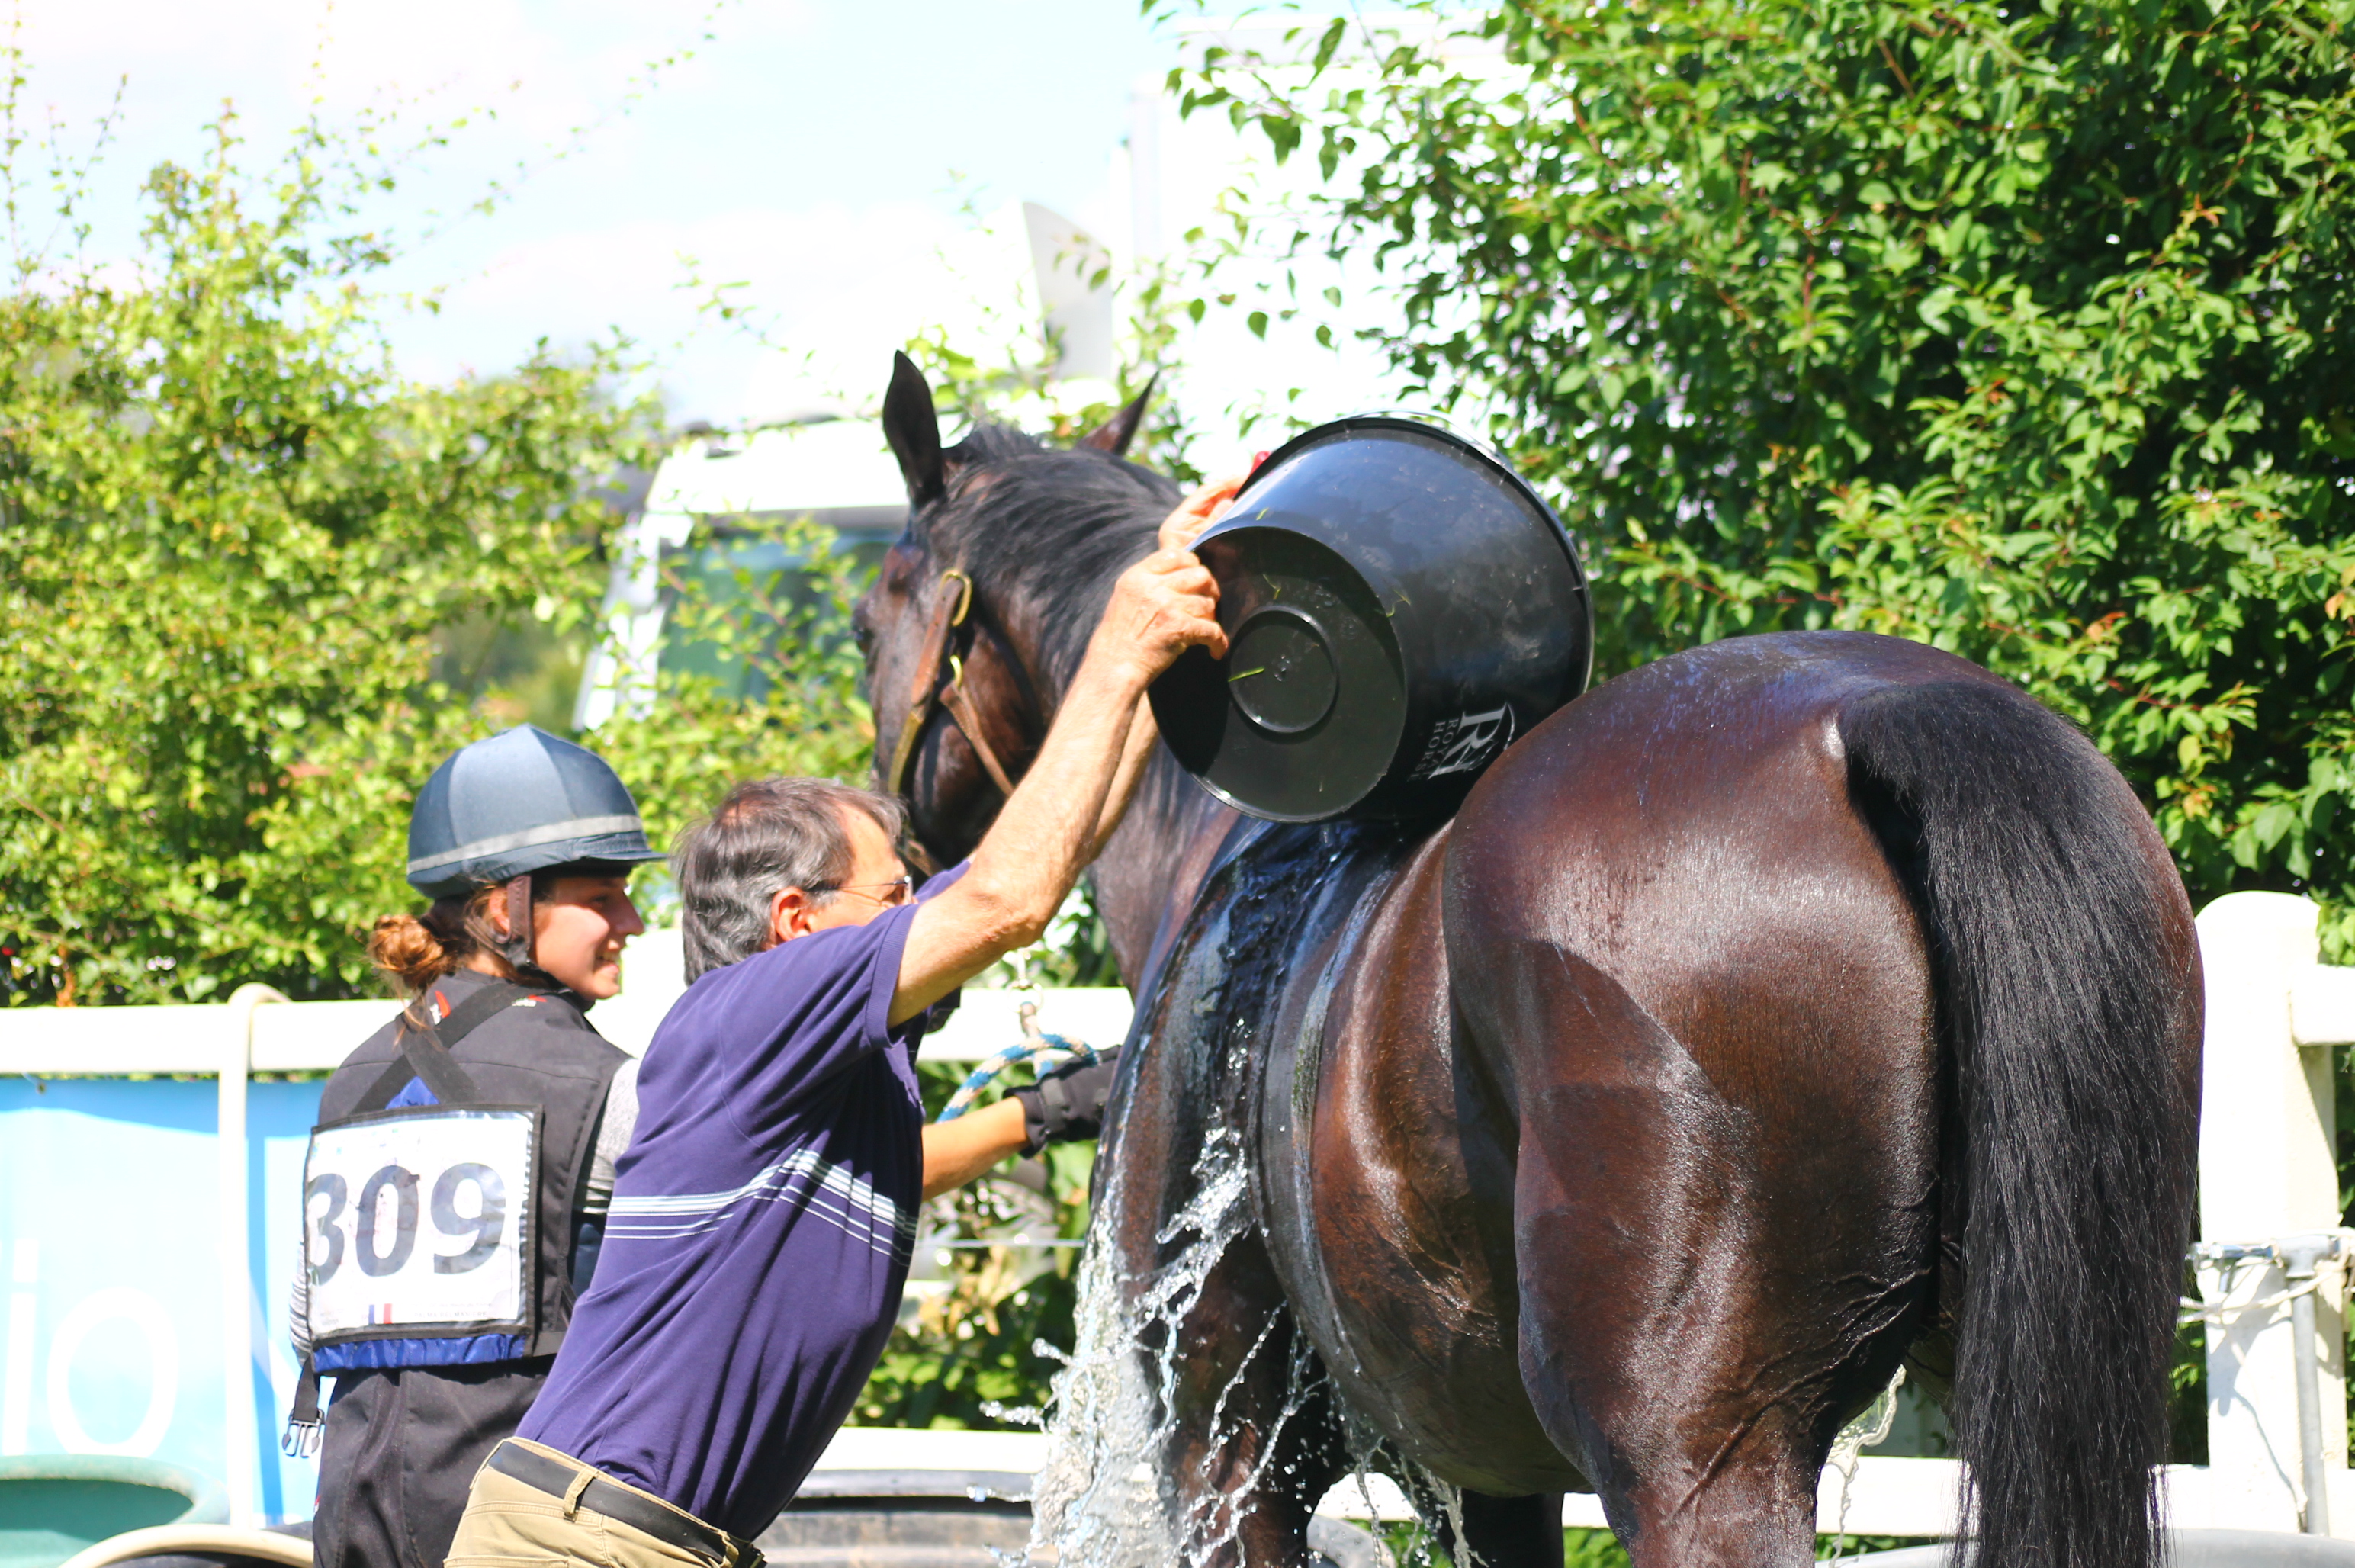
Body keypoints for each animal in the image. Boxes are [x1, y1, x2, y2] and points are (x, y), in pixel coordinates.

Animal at [857, 353, 2195, 1563]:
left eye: (874, 616)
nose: (899, 840)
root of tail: (1869, 718)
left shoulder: (1229, 1466)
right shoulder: (1499, 1482)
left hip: (1700, 1463)